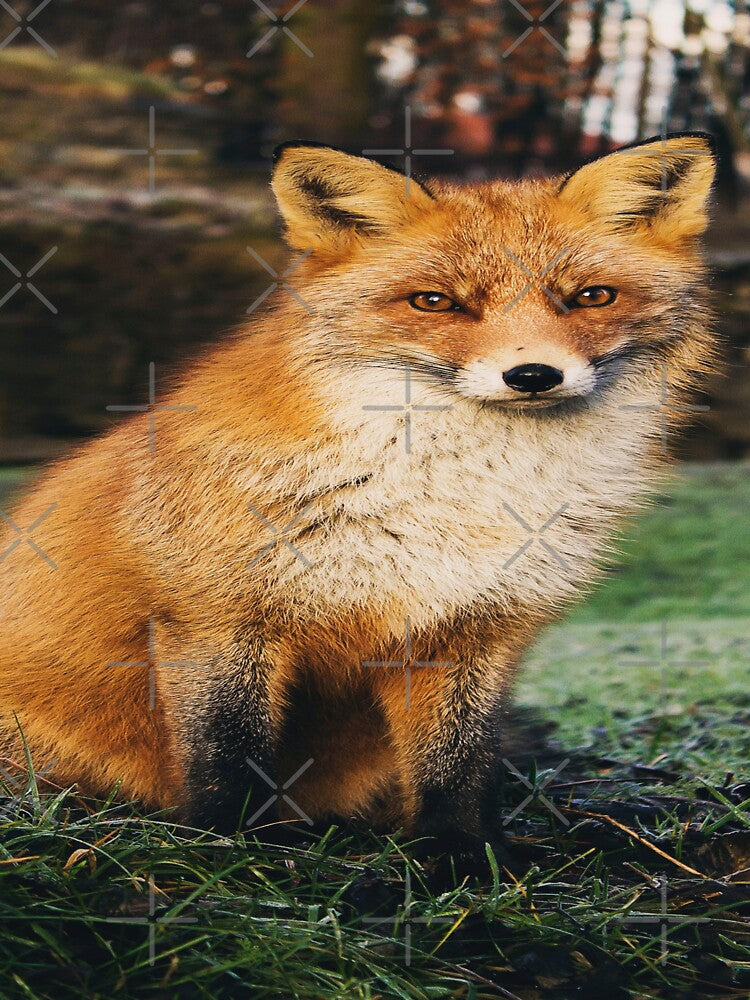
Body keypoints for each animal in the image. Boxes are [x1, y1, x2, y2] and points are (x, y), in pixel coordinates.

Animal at [0, 134, 716, 853]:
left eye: (592, 296)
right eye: (435, 302)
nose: (533, 375)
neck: (449, 498)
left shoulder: (472, 631)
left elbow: (457, 765)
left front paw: (461, 856)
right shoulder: (216, 618)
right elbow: (229, 754)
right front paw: (234, 846)